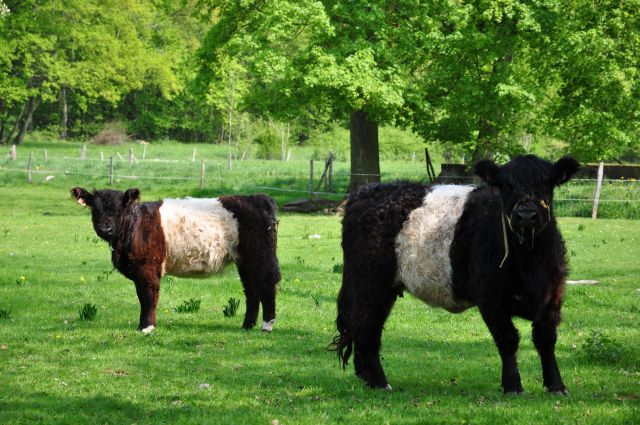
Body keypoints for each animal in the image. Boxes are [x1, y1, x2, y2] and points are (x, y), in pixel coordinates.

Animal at [70, 187, 280, 332]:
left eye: (118, 210)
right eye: (95, 210)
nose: (106, 229)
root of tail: (257, 198)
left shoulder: (148, 267)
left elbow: (148, 295)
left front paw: (147, 327)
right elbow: (142, 297)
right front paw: (143, 325)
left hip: (260, 255)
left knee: (266, 284)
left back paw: (266, 325)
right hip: (244, 261)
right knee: (251, 288)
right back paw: (247, 325)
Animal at [336, 154, 580, 392]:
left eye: (545, 184)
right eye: (507, 186)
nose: (526, 215)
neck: (528, 262)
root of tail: (365, 192)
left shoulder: (552, 296)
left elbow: (545, 338)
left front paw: (556, 385)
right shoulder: (491, 298)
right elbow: (508, 339)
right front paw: (512, 385)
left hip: (383, 288)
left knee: (370, 329)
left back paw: (369, 379)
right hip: (369, 281)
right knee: (365, 326)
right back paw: (379, 383)